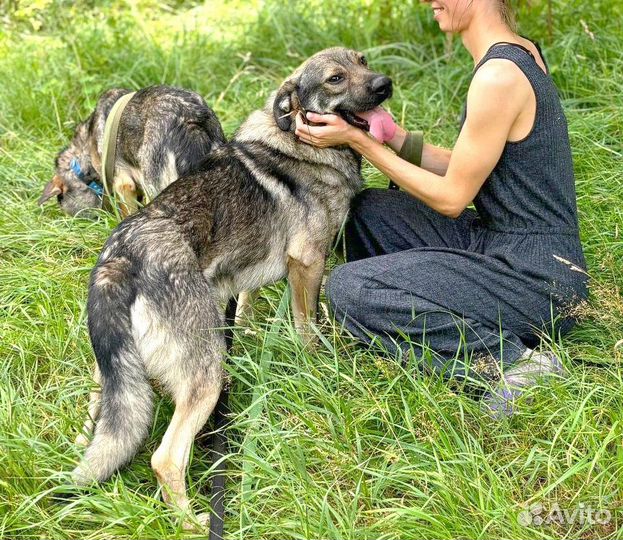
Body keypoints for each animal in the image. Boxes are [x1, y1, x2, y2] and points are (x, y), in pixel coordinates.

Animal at [73, 47, 392, 528]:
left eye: (363, 60)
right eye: (335, 78)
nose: (385, 84)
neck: (301, 143)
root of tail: (120, 261)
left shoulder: (247, 272)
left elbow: (246, 303)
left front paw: (248, 331)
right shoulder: (307, 263)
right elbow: (307, 326)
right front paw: (319, 363)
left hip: (114, 374)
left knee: (103, 417)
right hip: (204, 376)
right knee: (165, 458)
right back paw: (193, 523)